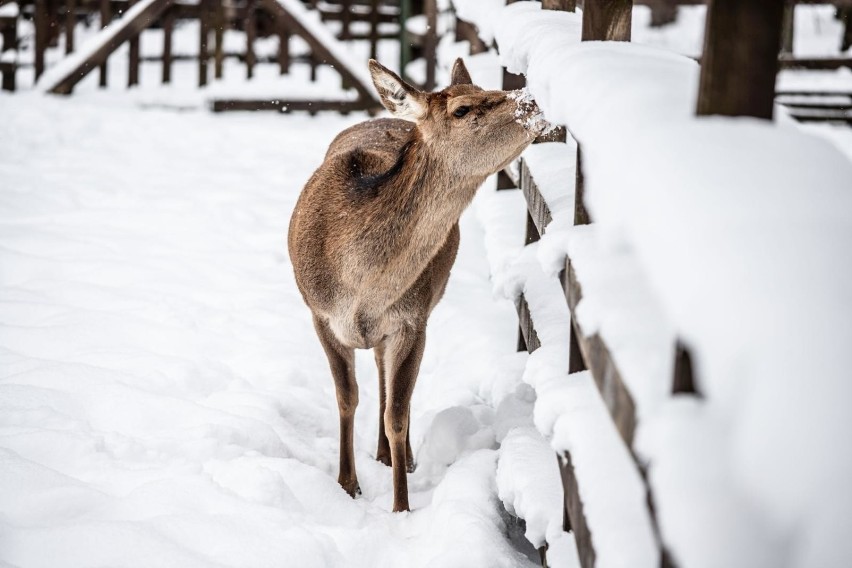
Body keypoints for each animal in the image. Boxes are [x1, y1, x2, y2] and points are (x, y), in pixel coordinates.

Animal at [290, 58, 548, 516]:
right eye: (463, 108)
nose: (533, 99)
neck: (361, 289)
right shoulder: (319, 314)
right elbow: (346, 397)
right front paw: (347, 485)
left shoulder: (413, 321)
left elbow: (398, 413)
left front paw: (401, 507)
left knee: (391, 385)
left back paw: (396, 455)